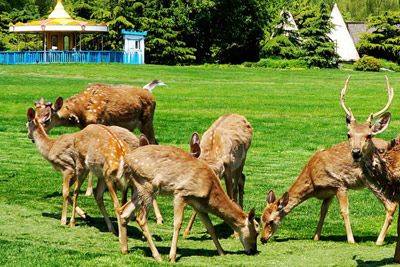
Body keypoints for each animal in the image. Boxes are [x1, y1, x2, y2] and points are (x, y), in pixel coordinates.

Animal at [26, 109, 161, 260]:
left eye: (27, 123)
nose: (29, 136)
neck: (50, 148)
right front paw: (84, 215)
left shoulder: (69, 168)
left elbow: (67, 192)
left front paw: (66, 220)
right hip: (113, 177)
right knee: (110, 197)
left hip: (104, 174)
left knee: (117, 204)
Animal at [118, 141, 260, 262]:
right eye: (256, 231)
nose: (253, 250)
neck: (209, 191)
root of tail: (125, 160)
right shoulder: (181, 192)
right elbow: (178, 224)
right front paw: (172, 257)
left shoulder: (198, 204)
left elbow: (210, 228)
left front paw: (222, 252)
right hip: (147, 185)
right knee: (140, 218)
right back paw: (157, 256)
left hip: (139, 188)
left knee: (124, 212)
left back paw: (125, 250)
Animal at [260, 76, 396, 246]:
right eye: (260, 218)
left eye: (271, 221)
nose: (263, 239)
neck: (312, 178)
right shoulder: (328, 193)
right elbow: (322, 212)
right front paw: (316, 236)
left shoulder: (339, 184)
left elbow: (344, 211)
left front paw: (351, 240)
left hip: (374, 179)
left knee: (391, 205)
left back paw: (379, 241)